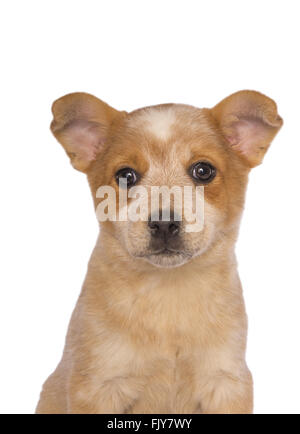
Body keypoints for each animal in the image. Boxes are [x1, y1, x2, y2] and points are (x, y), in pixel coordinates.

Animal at [36, 89, 282, 414]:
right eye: (126, 175)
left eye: (203, 171)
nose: (165, 223)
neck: (168, 294)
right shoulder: (98, 385)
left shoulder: (225, 381)